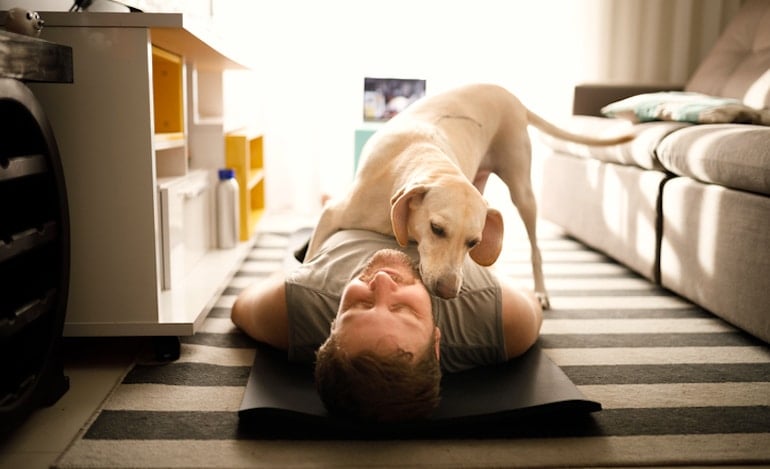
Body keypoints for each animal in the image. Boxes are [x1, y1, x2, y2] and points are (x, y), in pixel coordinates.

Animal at [306, 82, 632, 306]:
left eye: (473, 242)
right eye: (436, 229)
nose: (448, 291)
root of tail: (511, 97)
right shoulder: (332, 213)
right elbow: (311, 252)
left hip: (522, 192)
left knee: (535, 249)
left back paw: (540, 291)